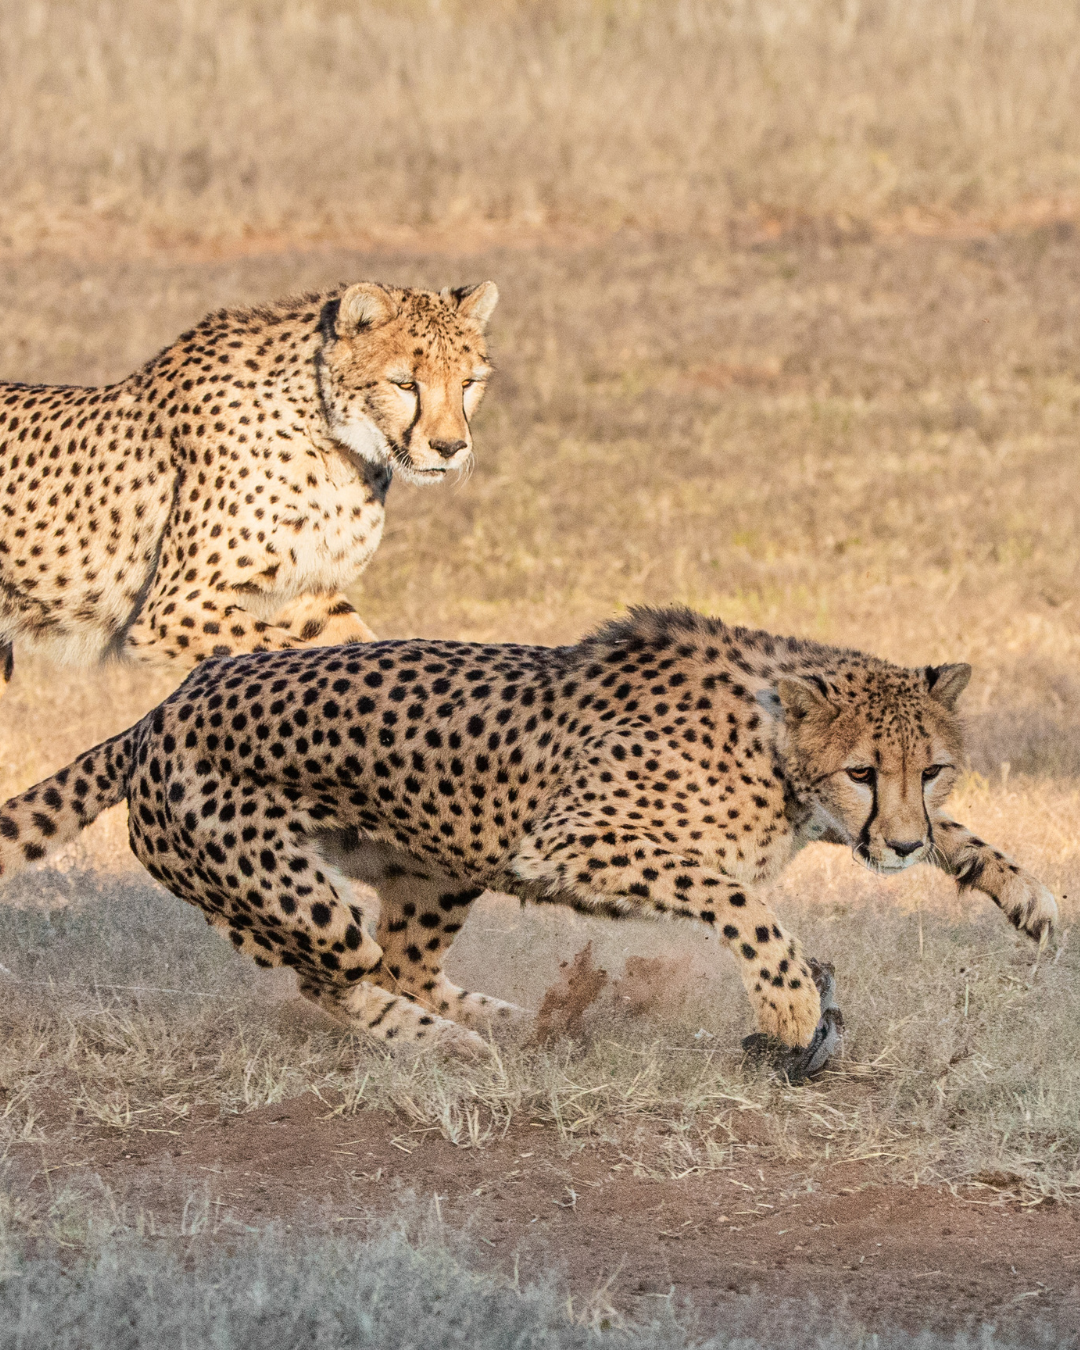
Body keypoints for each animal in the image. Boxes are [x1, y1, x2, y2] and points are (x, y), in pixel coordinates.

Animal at [0, 278, 498, 695]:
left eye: (467, 383)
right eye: (405, 384)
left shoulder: (306, 590)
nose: (450, 446)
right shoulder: (174, 609)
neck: (334, 438)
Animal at [0, 607, 1058, 1075]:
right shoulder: (570, 845)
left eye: (931, 768)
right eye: (862, 770)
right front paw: (792, 1003)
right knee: (334, 979)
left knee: (400, 962)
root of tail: (159, 710)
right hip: (288, 890)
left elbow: (958, 837)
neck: (769, 740)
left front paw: (1022, 891)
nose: (899, 851)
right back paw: (449, 1043)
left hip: (434, 867)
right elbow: (737, 897)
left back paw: (513, 1019)